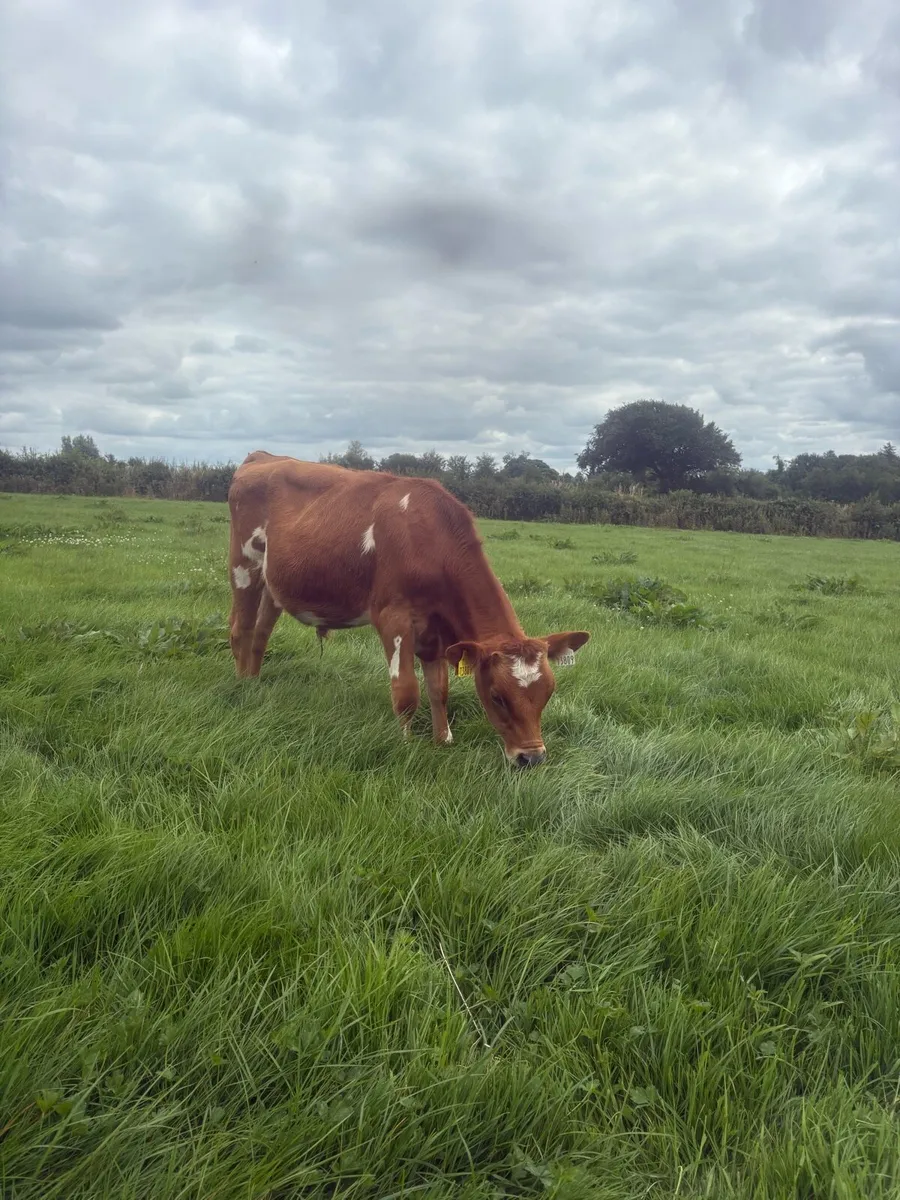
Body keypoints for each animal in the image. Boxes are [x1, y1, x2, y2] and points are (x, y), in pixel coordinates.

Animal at [227, 450, 590, 766]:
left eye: (548, 692)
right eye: (498, 695)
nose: (531, 758)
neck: (430, 539)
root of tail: (263, 457)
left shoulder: (437, 632)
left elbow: (439, 689)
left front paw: (443, 739)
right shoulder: (394, 618)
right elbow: (405, 690)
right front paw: (405, 743)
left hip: (273, 584)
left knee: (261, 633)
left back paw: (255, 682)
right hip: (244, 565)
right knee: (241, 629)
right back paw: (242, 686)